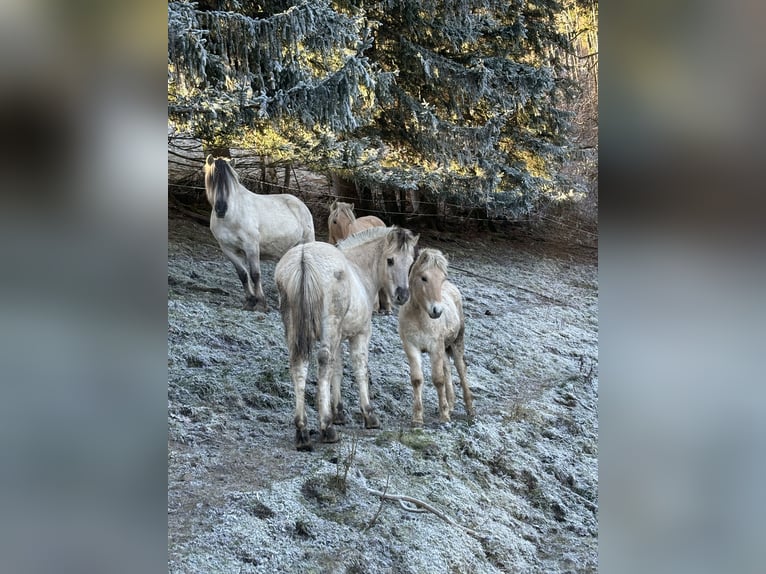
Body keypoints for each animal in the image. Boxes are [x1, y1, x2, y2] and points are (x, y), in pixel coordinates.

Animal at [202, 155, 316, 312]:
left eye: (231, 181)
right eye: (212, 178)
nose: (221, 209)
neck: (232, 216)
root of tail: (301, 204)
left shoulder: (251, 246)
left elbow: (255, 274)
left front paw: (261, 303)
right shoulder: (227, 249)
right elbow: (243, 274)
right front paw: (250, 301)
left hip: (305, 244)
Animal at [274, 227, 420, 452]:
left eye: (411, 261)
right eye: (390, 260)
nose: (402, 295)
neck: (359, 270)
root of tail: (304, 258)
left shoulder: (338, 338)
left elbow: (337, 371)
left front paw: (338, 413)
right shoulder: (360, 334)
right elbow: (360, 369)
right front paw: (368, 415)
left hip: (295, 329)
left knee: (299, 366)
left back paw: (302, 431)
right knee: (323, 362)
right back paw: (326, 428)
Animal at [402, 248, 474, 428]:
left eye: (442, 278)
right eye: (424, 278)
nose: (437, 311)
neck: (420, 318)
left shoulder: (435, 347)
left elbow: (438, 379)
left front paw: (444, 416)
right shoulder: (411, 347)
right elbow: (417, 379)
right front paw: (417, 418)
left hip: (456, 343)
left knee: (461, 369)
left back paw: (470, 409)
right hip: (444, 348)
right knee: (447, 369)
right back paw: (452, 404)